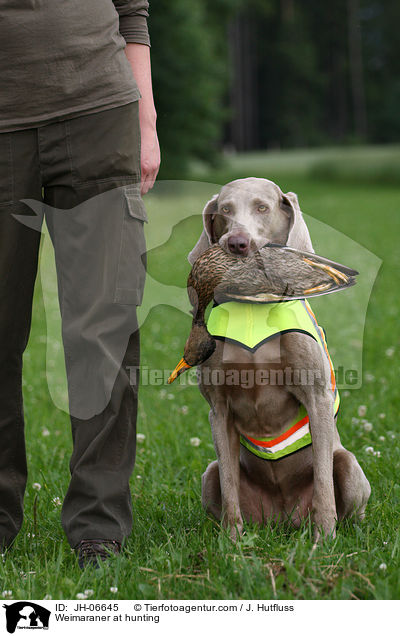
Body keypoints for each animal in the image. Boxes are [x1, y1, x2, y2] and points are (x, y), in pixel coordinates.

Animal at [189, 176, 370, 540]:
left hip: (349, 465)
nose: (237, 243)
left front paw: (322, 541)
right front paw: (231, 543)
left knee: (345, 494)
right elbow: (229, 483)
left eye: (263, 207)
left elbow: (323, 483)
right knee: (220, 476)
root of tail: (284, 519)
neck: (253, 309)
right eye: (224, 210)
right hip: (208, 474)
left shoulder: (316, 397)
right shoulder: (218, 409)